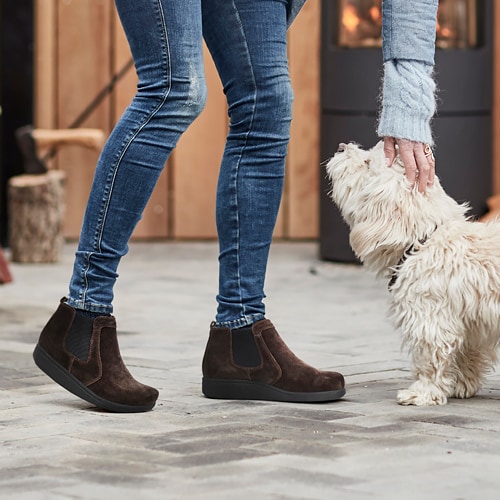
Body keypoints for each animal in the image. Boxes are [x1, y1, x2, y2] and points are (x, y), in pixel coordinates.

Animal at [326, 141, 500, 406]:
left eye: (367, 163)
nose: (341, 146)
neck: (423, 241)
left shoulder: (430, 317)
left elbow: (431, 356)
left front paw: (422, 392)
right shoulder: (471, 321)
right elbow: (467, 354)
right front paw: (462, 385)